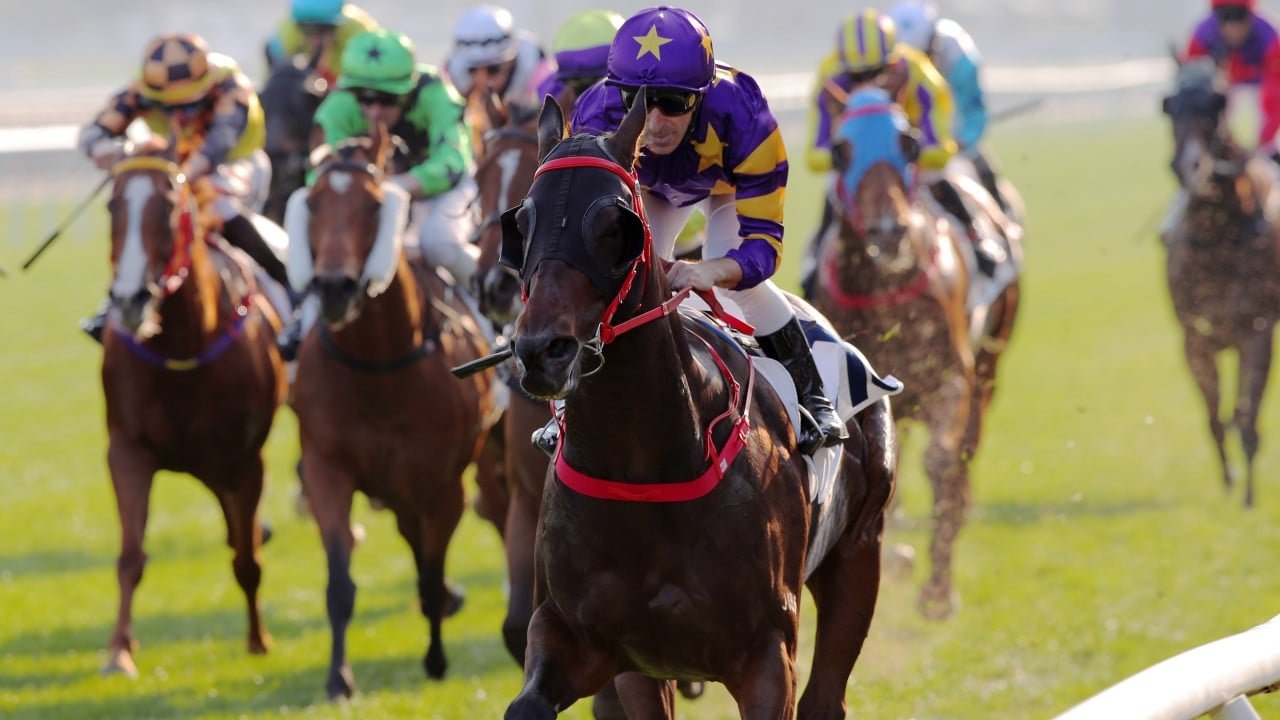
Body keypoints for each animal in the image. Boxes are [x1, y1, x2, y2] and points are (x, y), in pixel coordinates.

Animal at [100, 154, 286, 677]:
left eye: (167, 209)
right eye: (112, 207)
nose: (130, 300)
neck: (182, 345)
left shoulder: (246, 461)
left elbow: (247, 559)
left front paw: (258, 640)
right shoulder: (127, 450)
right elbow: (130, 556)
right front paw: (119, 650)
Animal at [286, 124, 500, 699]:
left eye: (374, 204)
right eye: (312, 203)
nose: (333, 287)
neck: (378, 367)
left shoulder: (443, 486)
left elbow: (428, 574)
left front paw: (436, 659)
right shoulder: (328, 468)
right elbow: (339, 582)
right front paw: (338, 679)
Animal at [501, 94, 896, 719]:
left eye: (616, 225)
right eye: (520, 223)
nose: (543, 350)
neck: (644, 469)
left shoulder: (767, 658)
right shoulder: (596, 644)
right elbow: (532, 700)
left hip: (858, 555)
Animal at [810, 87, 1021, 619]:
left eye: (907, 142)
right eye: (840, 151)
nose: (887, 232)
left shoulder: (951, 377)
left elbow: (941, 463)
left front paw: (939, 591)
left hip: (989, 362)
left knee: (964, 452)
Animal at [1161, 58, 1280, 508]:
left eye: (1217, 103)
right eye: (1169, 105)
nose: (1187, 166)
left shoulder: (1257, 332)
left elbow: (1246, 416)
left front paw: (1248, 499)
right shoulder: (1195, 337)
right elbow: (1213, 415)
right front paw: (1229, 484)